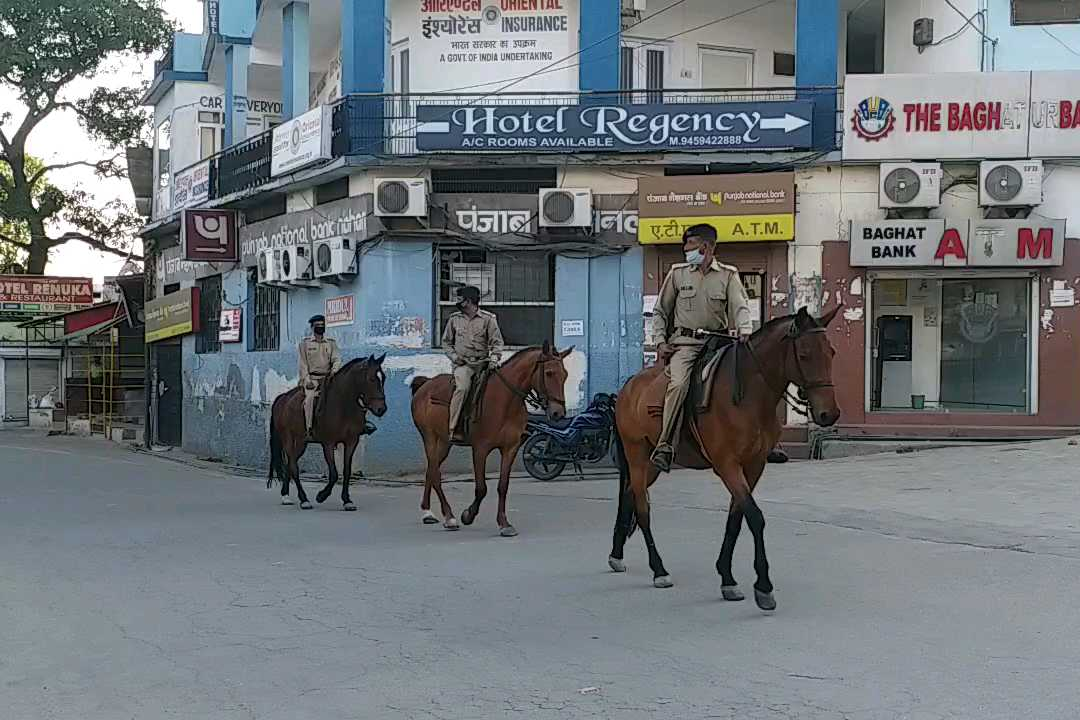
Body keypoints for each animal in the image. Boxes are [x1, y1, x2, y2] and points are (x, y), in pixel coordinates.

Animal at [266, 354, 388, 511]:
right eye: (371, 379)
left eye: (383, 378)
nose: (381, 409)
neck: (343, 404)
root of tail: (282, 398)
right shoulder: (328, 443)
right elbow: (334, 473)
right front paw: (321, 496)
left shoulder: (351, 441)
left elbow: (346, 471)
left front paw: (347, 500)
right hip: (288, 439)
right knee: (293, 466)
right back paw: (304, 499)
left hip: (301, 442)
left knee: (290, 464)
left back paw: (286, 495)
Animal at [406, 343, 574, 535]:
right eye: (549, 373)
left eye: (565, 374)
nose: (558, 413)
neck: (506, 401)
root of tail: (426, 384)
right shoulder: (480, 449)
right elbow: (481, 488)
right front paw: (468, 515)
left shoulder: (510, 449)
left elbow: (503, 486)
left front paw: (504, 523)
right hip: (429, 438)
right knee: (435, 473)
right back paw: (449, 517)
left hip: (444, 443)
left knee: (430, 471)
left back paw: (428, 512)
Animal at [609, 306, 842, 613]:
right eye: (804, 354)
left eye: (831, 352)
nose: (829, 413)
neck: (751, 396)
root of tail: (628, 386)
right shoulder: (727, 465)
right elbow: (755, 517)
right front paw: (763, 587)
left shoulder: (753, 466)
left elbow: (736, 518)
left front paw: (727, 578)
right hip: (636, 456)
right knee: (642, 508)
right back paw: (658, 570)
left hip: (650, 465)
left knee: (628, 496)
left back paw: (616, 554)